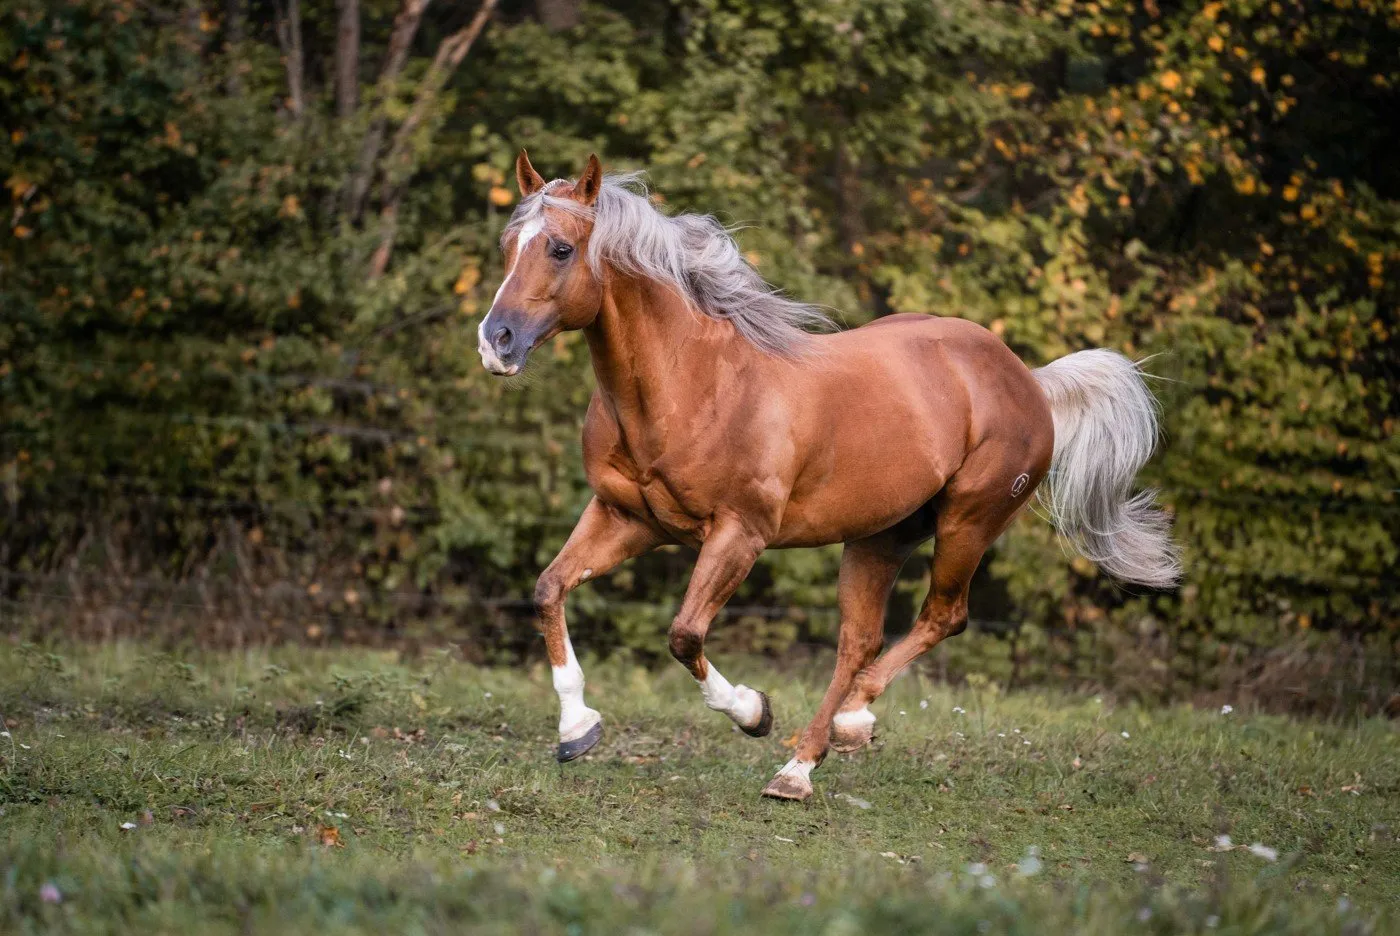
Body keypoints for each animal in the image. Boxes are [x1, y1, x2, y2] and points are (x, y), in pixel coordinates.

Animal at [477, 151, 1181, 801]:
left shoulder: (740, 534)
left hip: (968, 523)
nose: (495, 342)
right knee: (858, 641)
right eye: (508, 245)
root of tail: (1027, 379)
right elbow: (548, 590)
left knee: (941, 617)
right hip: (879, 536)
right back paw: (806, 761)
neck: (690, 385)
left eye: (561, 248)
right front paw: (577, 729)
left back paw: (841, 730)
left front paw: (753, 713)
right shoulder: (628, 519)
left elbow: (683, 634)